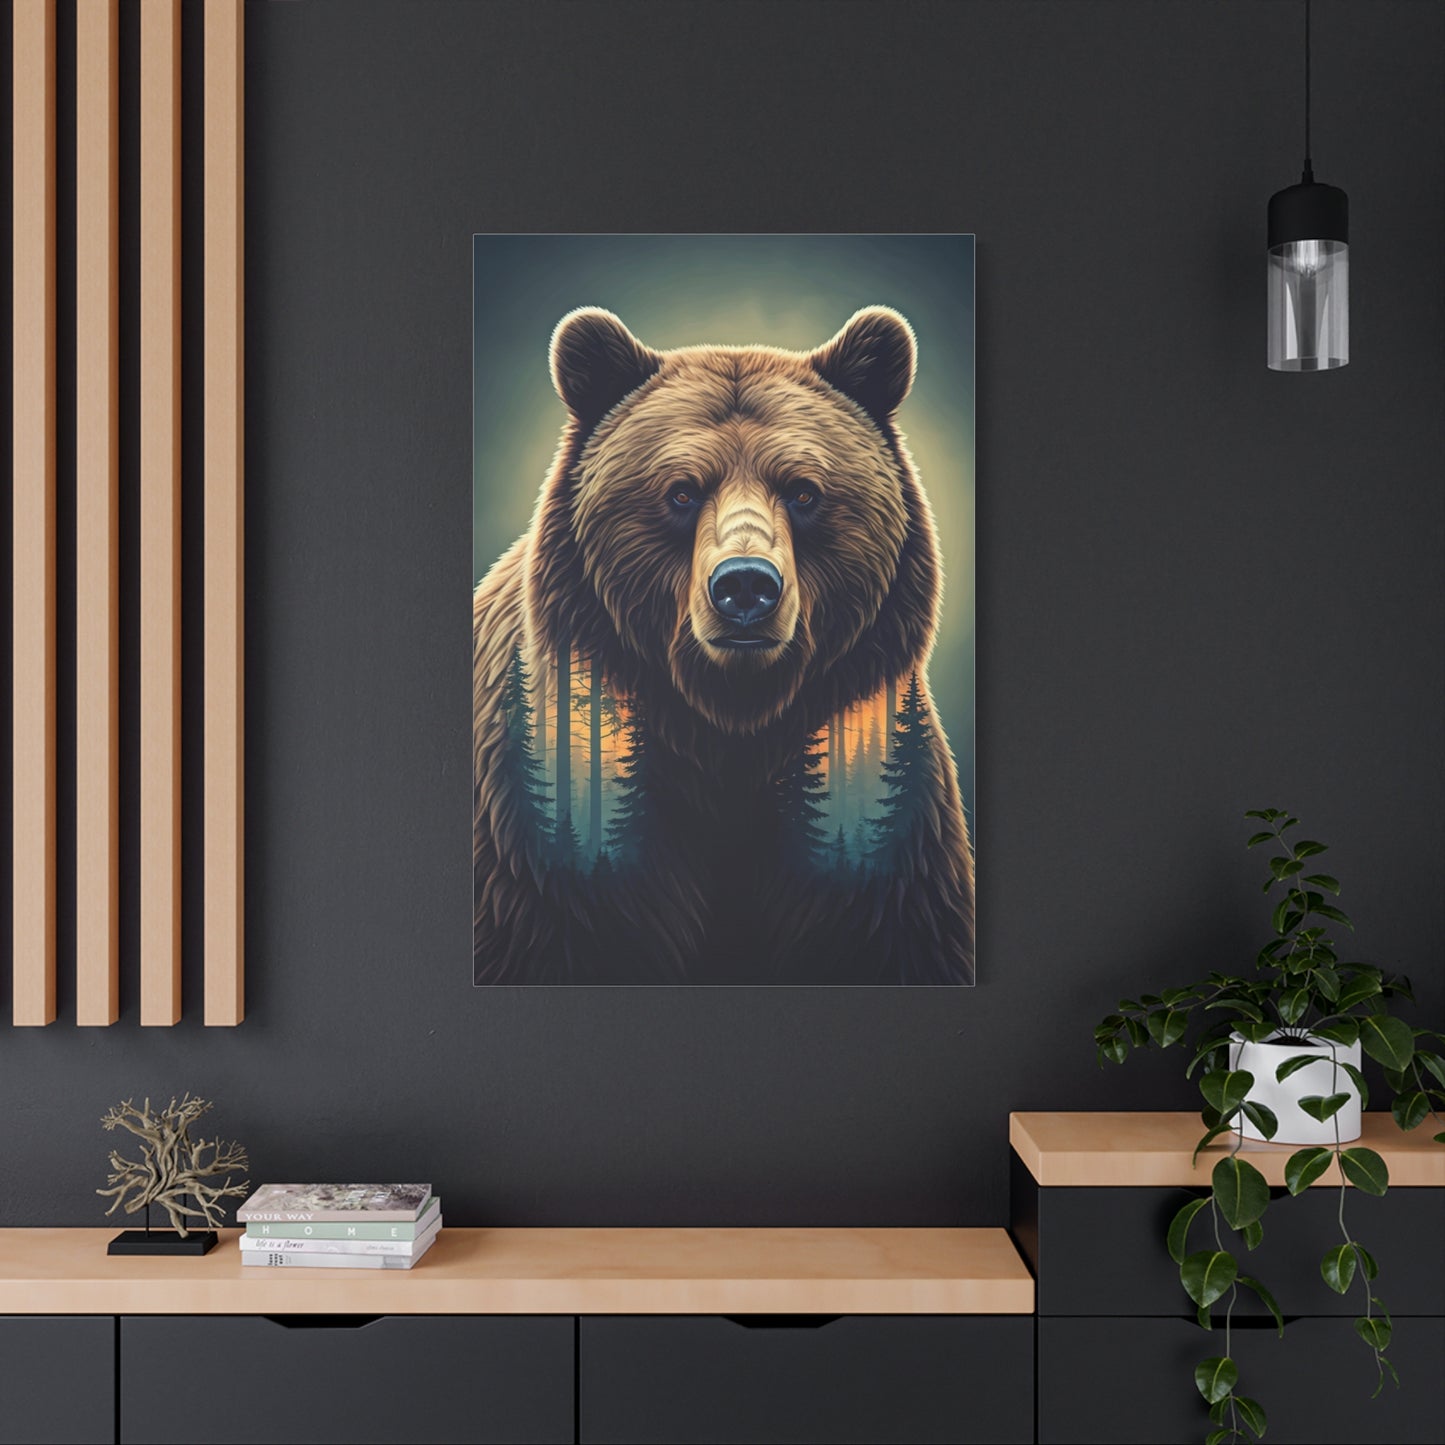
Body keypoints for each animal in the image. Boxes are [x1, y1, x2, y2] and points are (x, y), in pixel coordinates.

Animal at [474, 306, 974, 984]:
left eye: (804, 490)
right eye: (681, 491)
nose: (745, 586)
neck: (727, 736)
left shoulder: (884, 842)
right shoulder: (541, 842)